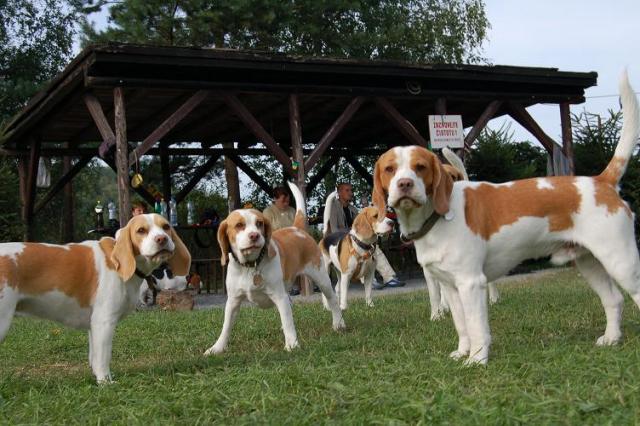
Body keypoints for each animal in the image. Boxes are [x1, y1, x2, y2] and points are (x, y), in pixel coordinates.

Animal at [0, 215, 191, 384]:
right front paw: (105, 382)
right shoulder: (104, 322)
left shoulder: (94, 325)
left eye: (166, 226)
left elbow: (94, 356)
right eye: (141, 230)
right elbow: (103, 358)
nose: (162, 238)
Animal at [205, 181, 344, 354]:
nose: (255, 236)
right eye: (239, 225)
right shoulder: (233, 301)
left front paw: (292, 344)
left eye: (259, 223)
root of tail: (297, 229)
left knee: (332, 300)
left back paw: (338, 323)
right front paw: (217, 348)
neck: (250, 266)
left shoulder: (279, 296)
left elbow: (288, 321)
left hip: (322, 279)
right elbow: (226, 327)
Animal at [370, 71, 640, 364]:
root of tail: (601, 181)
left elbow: (476, 326)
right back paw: (612, 338)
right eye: (389, 169)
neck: (438, 218)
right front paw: (462, 351)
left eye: (420, 167)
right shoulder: (451, 287)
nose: (405, 184)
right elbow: (461, 325)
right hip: (590, 263)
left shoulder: (471, 283)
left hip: (621, 262)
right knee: (614, 300)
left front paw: (476, 359)